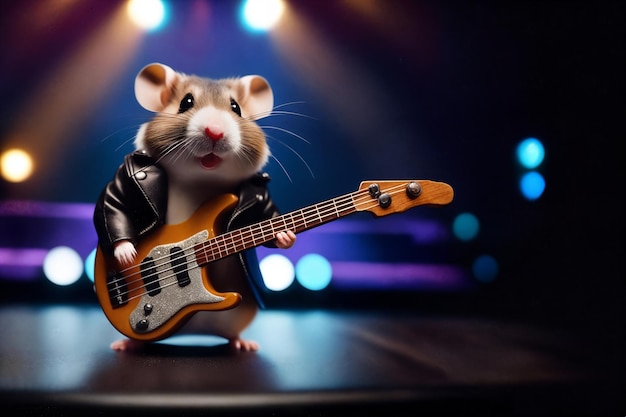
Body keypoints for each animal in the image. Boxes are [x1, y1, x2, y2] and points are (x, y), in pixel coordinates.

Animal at [104, 62, 294, 352]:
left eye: (236, 108)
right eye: (186, 102)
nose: (215, 131)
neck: (202, 178)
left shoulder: (262, 197)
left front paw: (285, 235)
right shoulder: (124, 177)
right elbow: (113, 202)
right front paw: (125, 251)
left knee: (231, 333)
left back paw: (242, 344)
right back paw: (126, 345)